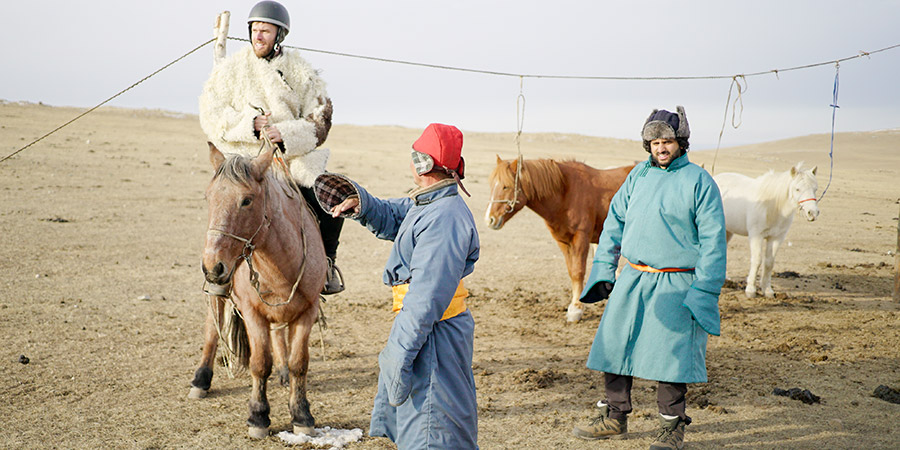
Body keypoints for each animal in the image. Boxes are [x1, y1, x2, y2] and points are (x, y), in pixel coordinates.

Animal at [191, 144, 330, 440]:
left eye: (247, 200)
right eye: (209, 197)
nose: (212, 266)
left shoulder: (308, 310)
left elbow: (300, 362)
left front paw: (301, 414)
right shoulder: (253, 313)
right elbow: (259, 363)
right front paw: (258, 416)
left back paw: (283, 371)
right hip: (218, 294)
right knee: (212, 328)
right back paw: (201, 379)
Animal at [486, 156, 632, 322]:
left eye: (506, 186)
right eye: (492, 185)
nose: (489, 219)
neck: (566, 193)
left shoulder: (581, 238)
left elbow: (578, 271)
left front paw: (576, 309)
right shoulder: (563, 242)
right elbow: (571, 271)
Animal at [712, 162, 820, 298]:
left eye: (815, 189)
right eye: (797, 189)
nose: (813, 213)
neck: (772, 206)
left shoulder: (776, 238)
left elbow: (769, 263)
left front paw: (767, 290)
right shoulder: (756, 235)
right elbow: (757, 260)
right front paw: (751, 290)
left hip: (728, 231)